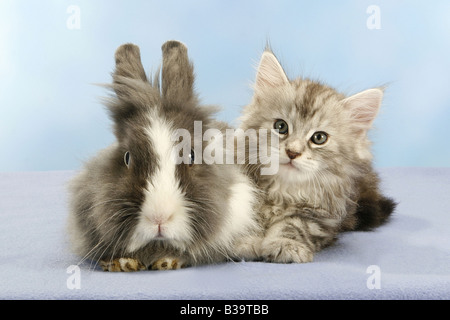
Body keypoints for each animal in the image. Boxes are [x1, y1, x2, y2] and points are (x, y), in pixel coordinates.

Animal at [237, 48, 396, 262]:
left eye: (319, 138)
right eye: (281, 126)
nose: (292, 152)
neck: (282, 191)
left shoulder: (319, 217)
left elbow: (293, 226)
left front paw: (285, 244)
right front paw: (245, 241)